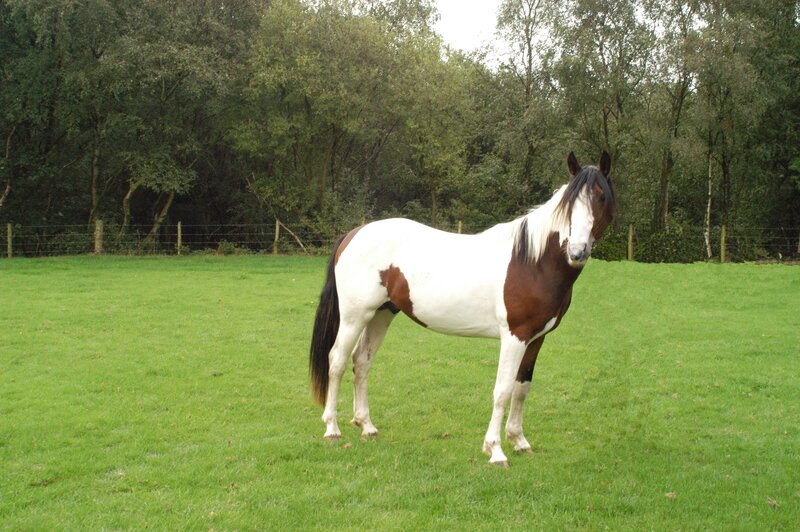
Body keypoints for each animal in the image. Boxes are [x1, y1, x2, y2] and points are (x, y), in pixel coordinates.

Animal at [309, 151, 616, 466]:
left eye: (602, 197)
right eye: (569, 202)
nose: (577, 251)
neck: (532, 261)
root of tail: (355, 233)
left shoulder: (536, 339)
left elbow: (522, 388)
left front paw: (519, 441)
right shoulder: (514, 337)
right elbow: (503, 390)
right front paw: (495, 450)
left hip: (381, 314)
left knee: (362, 361)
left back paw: (366, 425)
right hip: (354, 317)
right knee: (337, 361)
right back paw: (332, 428)